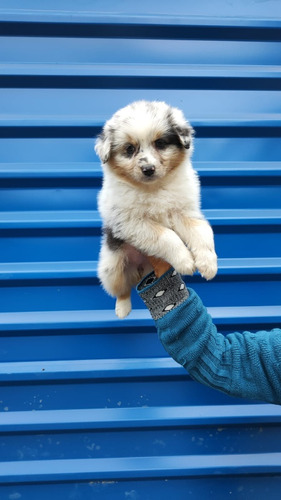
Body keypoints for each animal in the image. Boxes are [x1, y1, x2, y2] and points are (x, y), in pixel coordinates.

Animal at [94, 100, 217, 318]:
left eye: (160, 144)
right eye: (129, 149)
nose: (148, 169)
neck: (154, 188)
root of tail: (139, 269)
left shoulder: (185, 211)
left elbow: (202, 232)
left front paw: (208, 264)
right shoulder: (131, 223)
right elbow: (168, 236)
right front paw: (185, 262)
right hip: (112, 267)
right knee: (122, 289)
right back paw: (122, 309)